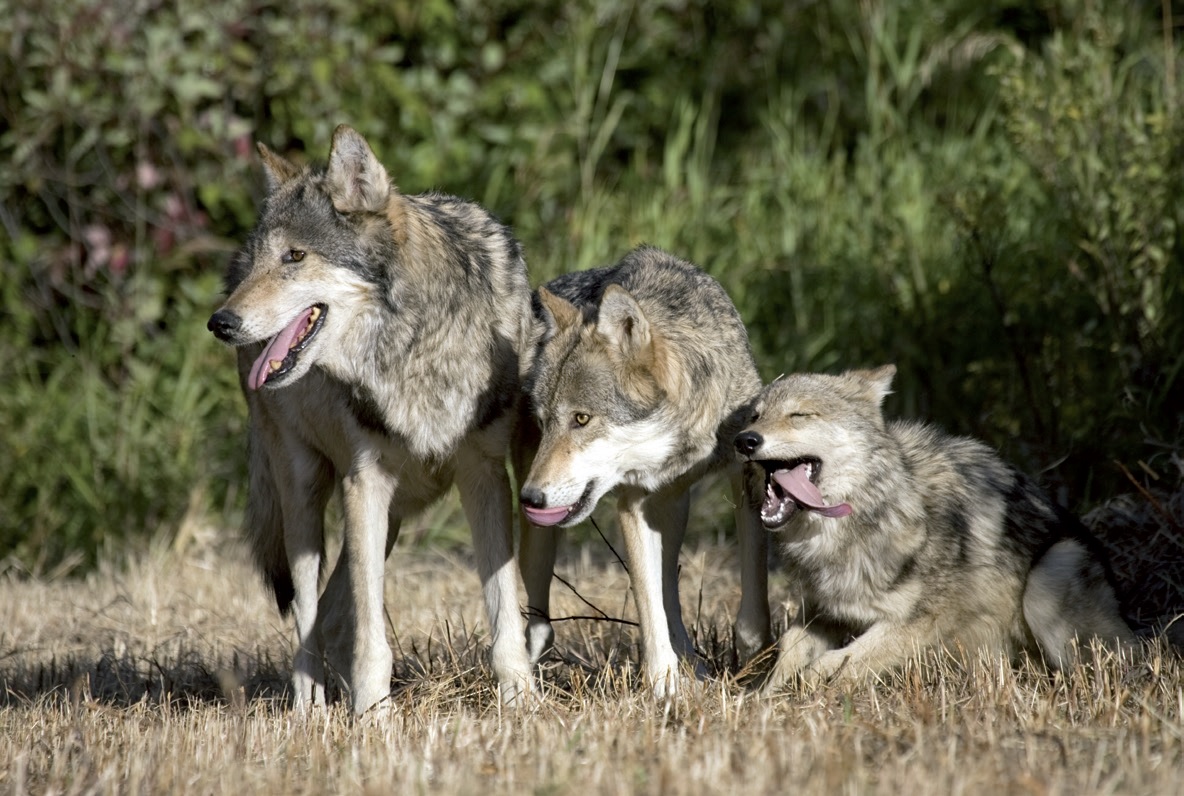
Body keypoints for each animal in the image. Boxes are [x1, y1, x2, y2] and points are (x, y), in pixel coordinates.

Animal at [206, 126, 535, 715]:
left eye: (295, 256)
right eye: (266, 259)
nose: (220, 322)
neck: (415, 345)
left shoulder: (484, 476)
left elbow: (502, 608)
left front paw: (521, 701)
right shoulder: (365, 484)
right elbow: (370, 631)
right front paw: (373, 717)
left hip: (394, 513)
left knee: (334, 612)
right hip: (306, 494)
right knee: (310, 611)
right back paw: (310, 707)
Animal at [513, 247, 771, 696]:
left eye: (581, 419)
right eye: (545, 422)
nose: (530, 498)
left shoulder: (747, 472)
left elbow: (752, 596)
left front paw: (755, 663)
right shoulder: (632, 503)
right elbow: (648, 605)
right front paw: (663, 684)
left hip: (674, 510)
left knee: (670, 589)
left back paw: (695, 666)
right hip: (543, 540)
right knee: (541, 623)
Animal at [734, 367, 1131, 691]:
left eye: (799, 415)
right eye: (755, 416)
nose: (745, 440)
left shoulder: (923, 619)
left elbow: (848, 657)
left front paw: (815, 683)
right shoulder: (825, 609)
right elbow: (790, 648)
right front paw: (764, 698)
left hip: (1047, 582)